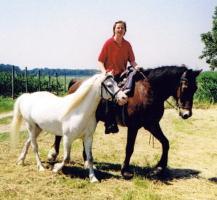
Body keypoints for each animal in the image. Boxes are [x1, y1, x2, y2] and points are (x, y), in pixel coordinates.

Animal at [48, 66, 201, 179]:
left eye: (196, 89)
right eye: (185, 87)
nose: (186, 114)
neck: (148, 91)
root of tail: (75, 82)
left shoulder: (151, 125)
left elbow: (165, 143)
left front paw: (158, 168)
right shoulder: (134, 127)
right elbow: (129, 148)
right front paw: (125, 170)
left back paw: (86, 161)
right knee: (59, 133)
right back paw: (53, 155)